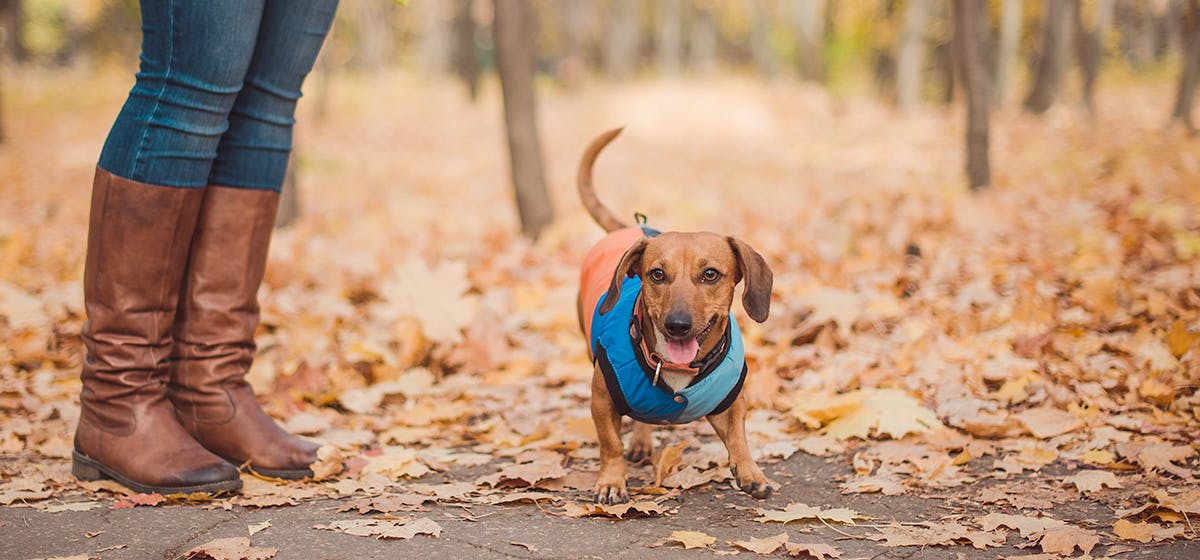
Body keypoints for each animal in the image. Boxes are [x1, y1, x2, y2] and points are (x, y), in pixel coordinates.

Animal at [573, 129, 777, 506]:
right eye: (656, 274)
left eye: (710, 274)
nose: (677, 325)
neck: (675, 369)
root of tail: (629, 229)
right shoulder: (601, 399)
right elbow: (610, 445)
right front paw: (611, 481)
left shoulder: (730, 403)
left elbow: (739, 438)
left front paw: (751, 473)